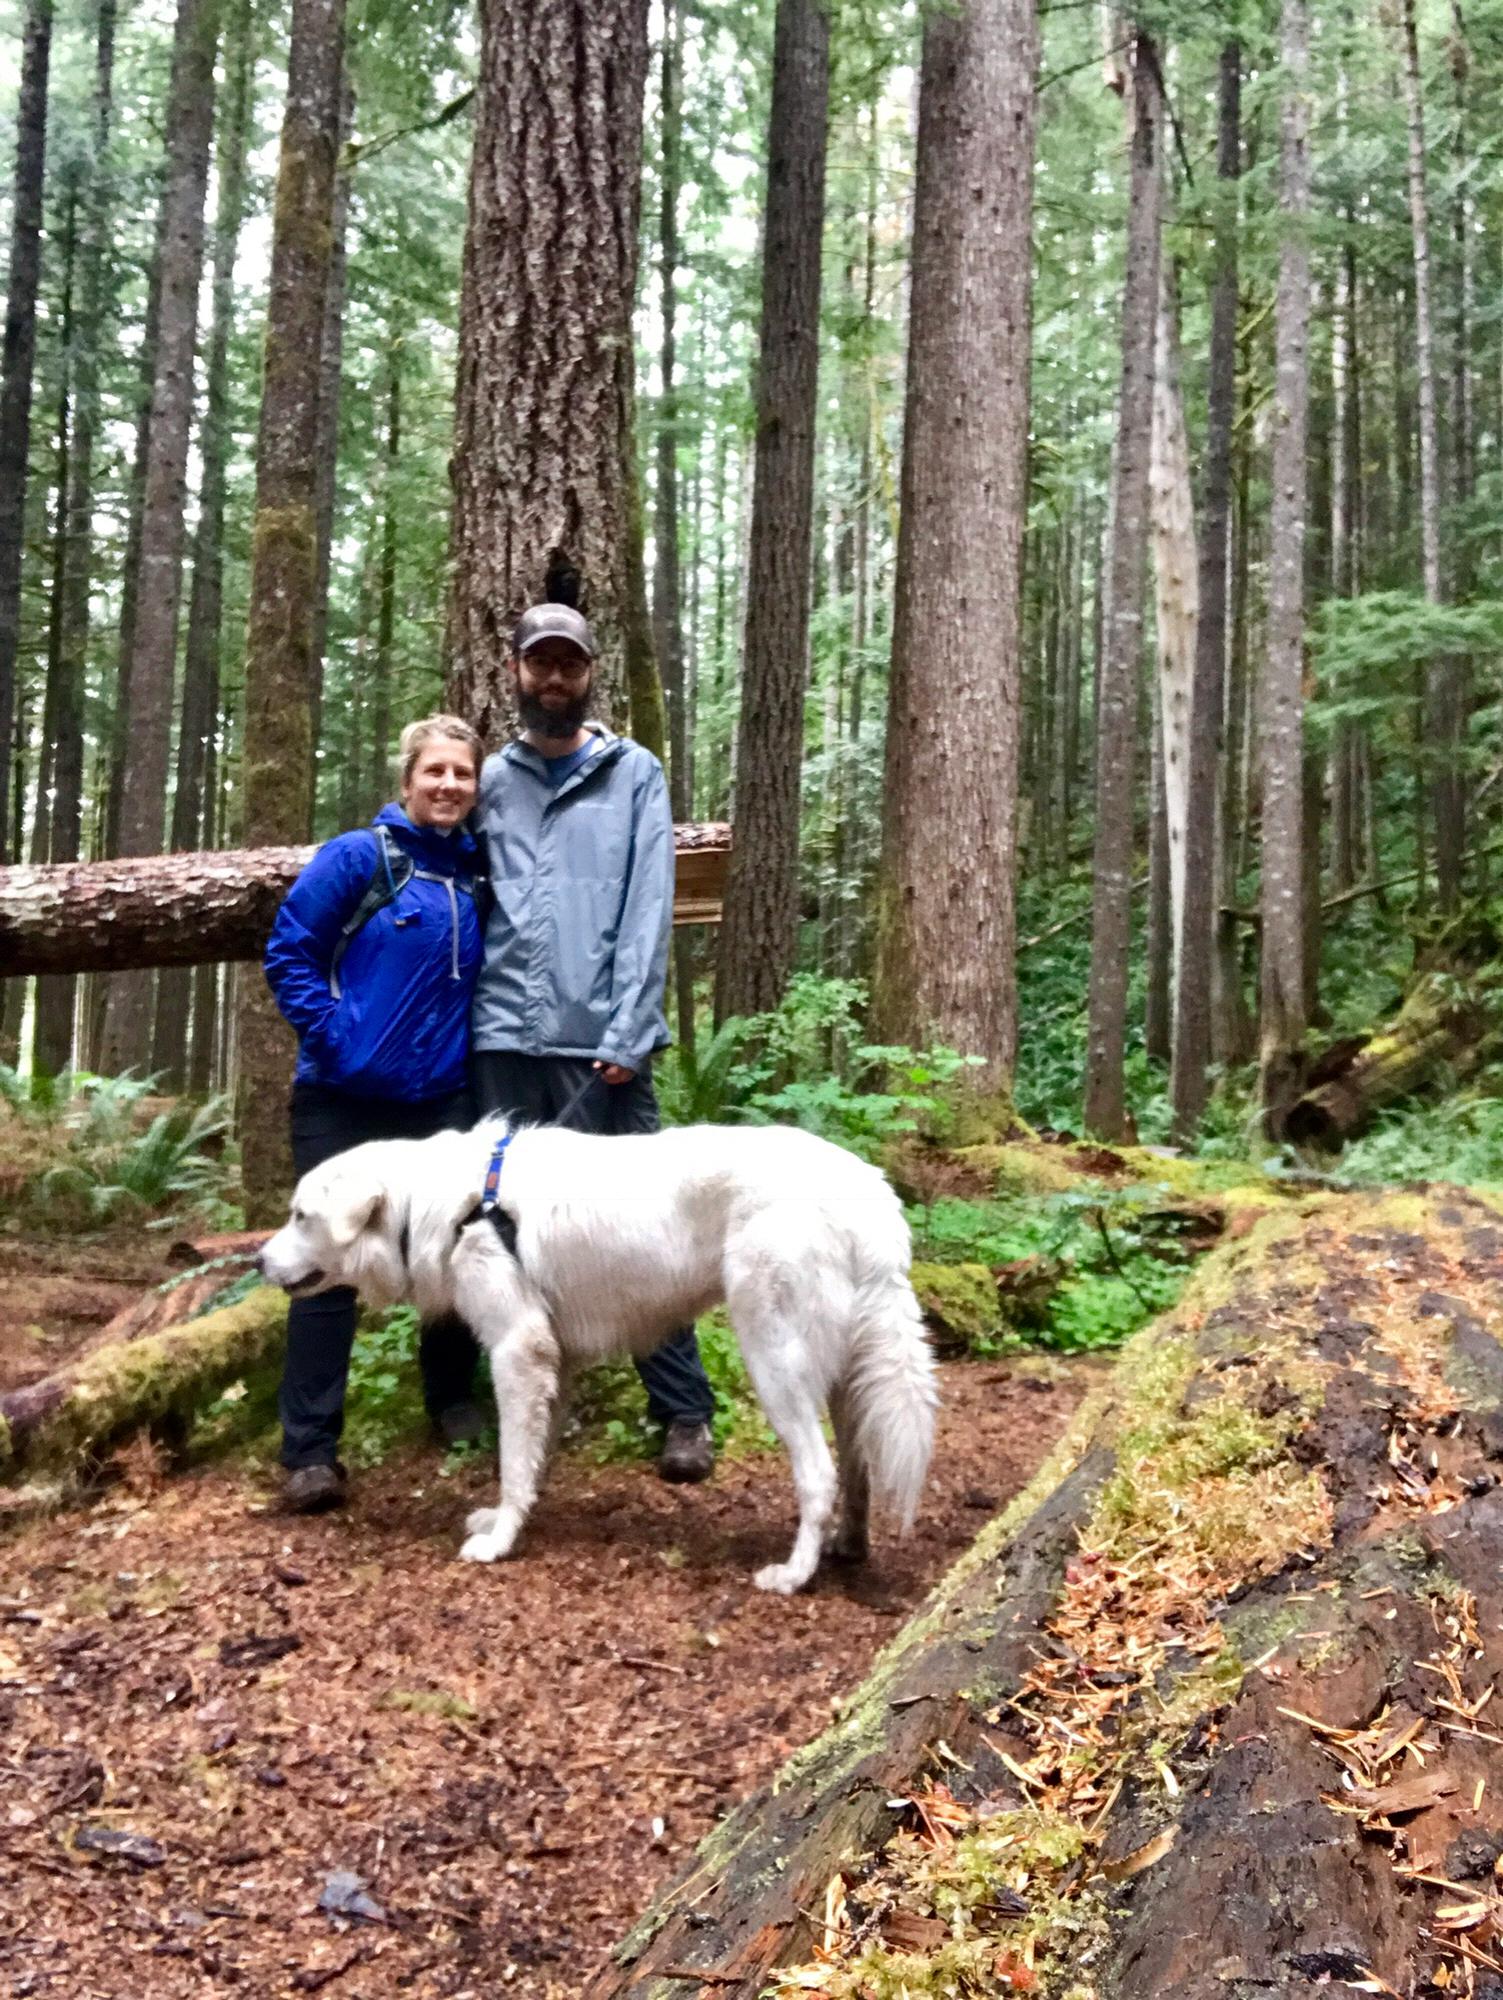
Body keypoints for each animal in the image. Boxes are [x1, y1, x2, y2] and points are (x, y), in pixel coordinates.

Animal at [259, 1128, 939, 1592]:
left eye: (300, 1216)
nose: (257, 1262)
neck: (438, 1207)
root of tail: (868, 1190)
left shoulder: (516, 1350)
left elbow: (511, 1461)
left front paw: (500, 1541)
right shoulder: (552, 1360)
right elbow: (530, 1461)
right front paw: (511, 1518)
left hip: (774, 1359)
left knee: (819, 1473)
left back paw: (795, 1574)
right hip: (845, 1372)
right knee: (858, 1466)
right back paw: (848, 1546)